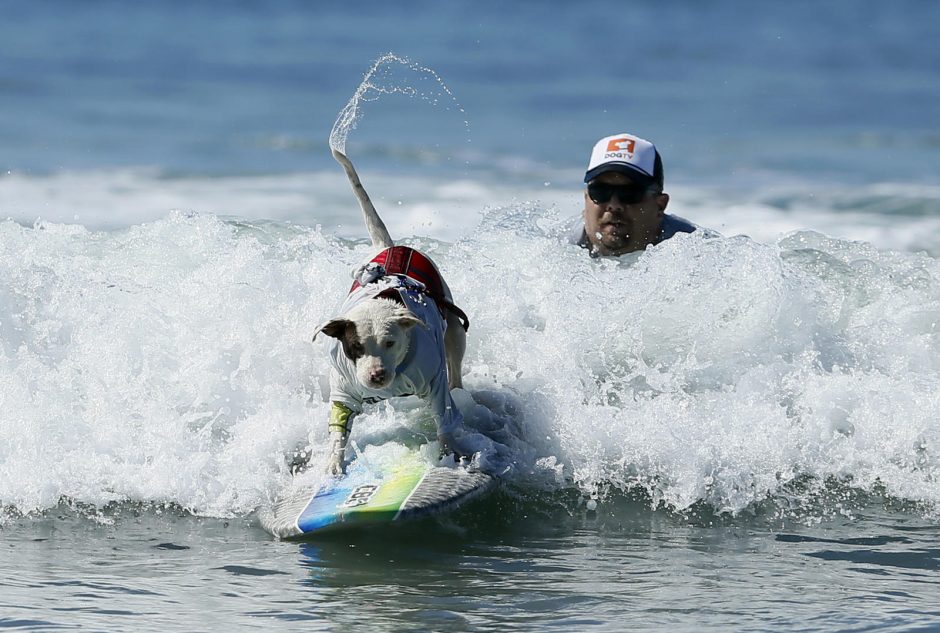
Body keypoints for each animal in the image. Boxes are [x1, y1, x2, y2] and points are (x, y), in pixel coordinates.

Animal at [312, 149, 470, 474]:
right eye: (355, 346)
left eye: (390, 342)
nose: (376, 376)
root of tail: (391, 248)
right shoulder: (344, 390)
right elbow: (339, 427)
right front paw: (334, 462)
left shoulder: (433, 379)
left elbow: (443, 415)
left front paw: (450, 450)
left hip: (454, 326)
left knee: (455, 360)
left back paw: (459, 387)